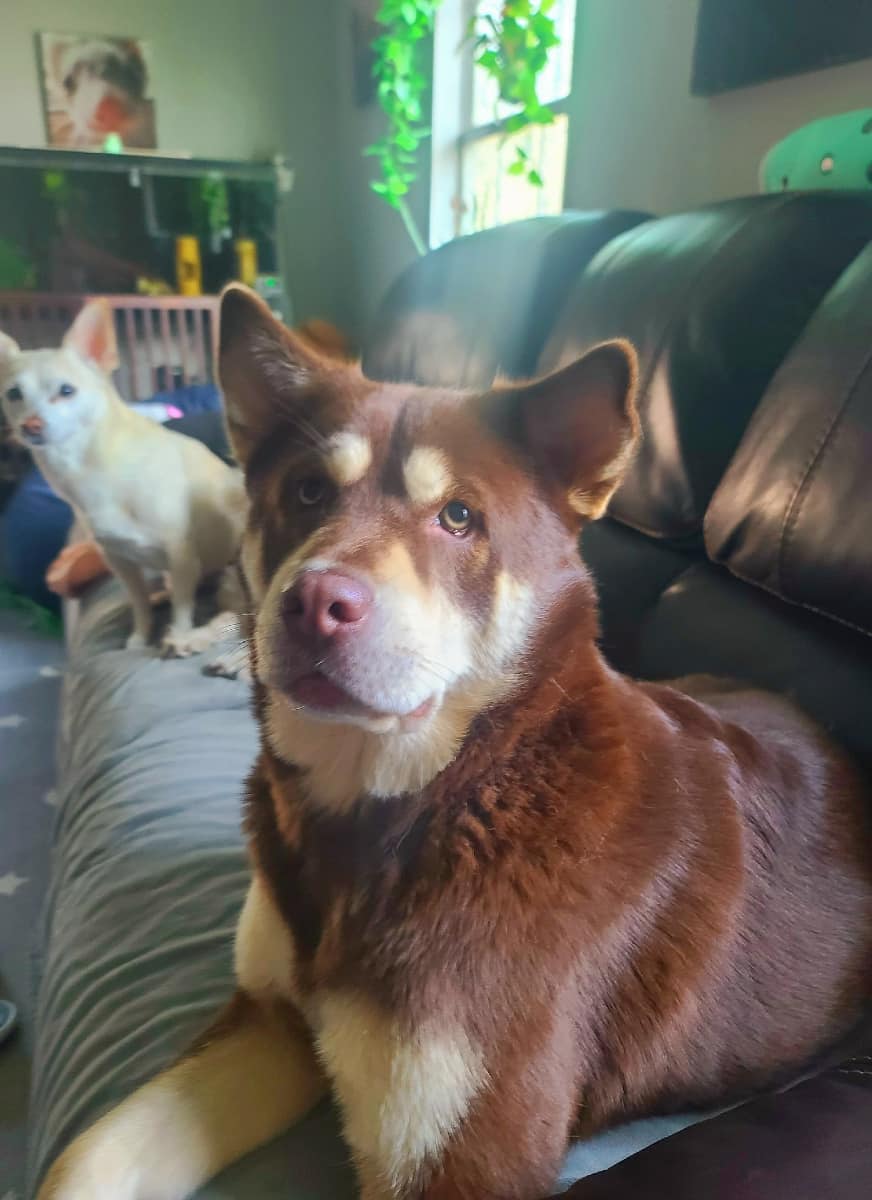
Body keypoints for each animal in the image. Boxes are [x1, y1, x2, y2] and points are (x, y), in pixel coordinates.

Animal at [0, 300, 245, 657]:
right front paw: (140, 638)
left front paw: (179, 635)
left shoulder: (181, 555)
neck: (88, 466)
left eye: (66, 391)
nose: (30, 426)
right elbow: (138, 603)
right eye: (14, 394)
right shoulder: (121, 561)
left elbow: (182, 609)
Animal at [40, 283, 872, 1200]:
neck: (425, 796)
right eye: (306, 493)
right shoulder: (269, 1021)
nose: (313, 603)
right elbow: (86, 1157)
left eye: (460, 517)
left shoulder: (463, 1151)